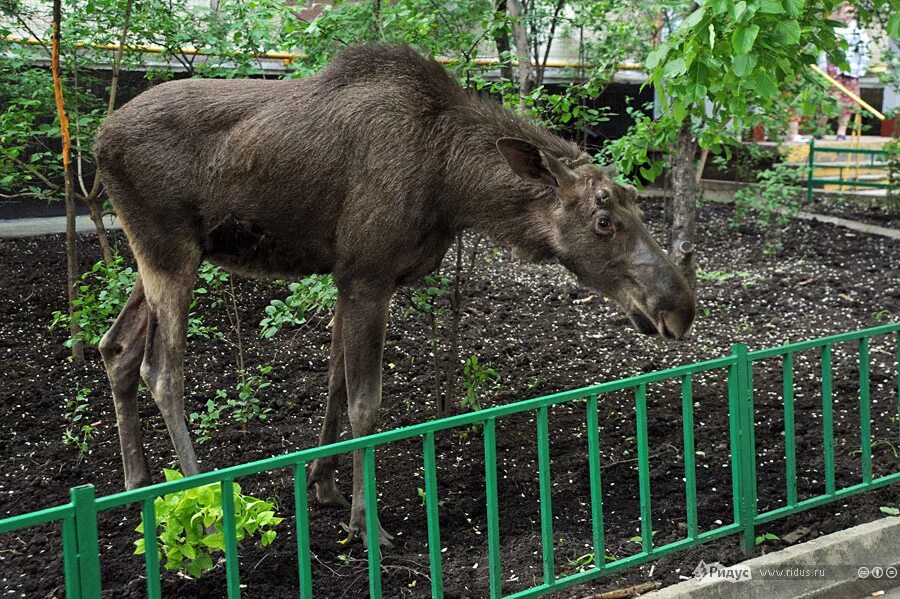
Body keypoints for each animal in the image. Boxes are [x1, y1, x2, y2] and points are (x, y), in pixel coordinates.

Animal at [93, 44, 696, 548]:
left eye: (636, 199)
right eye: (602, 220)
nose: (680, 308)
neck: (454, 187)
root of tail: (98, 142)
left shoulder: (346, 276)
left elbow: (335, 384)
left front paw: (324, 484)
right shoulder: (368, 275)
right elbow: (366, 404)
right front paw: (366, 523)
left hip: (157, 254)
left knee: (116, 347)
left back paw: (135, 482)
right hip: (170, 249)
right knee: (161, 371)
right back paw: (204, 499)